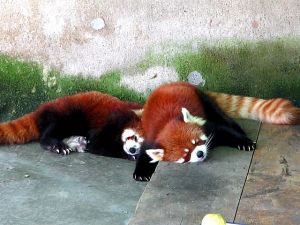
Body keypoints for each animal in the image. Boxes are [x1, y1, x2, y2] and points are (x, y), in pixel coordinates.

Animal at [0, 90, 144, 159]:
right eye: (135, 137)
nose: (133, 150)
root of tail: (41, 109)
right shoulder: (112, 121)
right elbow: (98, 144)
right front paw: (128, 156)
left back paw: (77, 142)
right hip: (70, 113)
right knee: (56, 127)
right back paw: (54, 144)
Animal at [134, 81, 300, 181]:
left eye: (197, 141)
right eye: (185, 154)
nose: (200, 153)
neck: (168, 124)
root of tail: (172, 83)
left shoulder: (206, 125)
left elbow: (224, 131)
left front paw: (244, 142)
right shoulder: (152, 136)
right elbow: (144, 153)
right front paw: (141, 173)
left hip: (203, 100)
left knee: (222, 117)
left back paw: (238, 128)